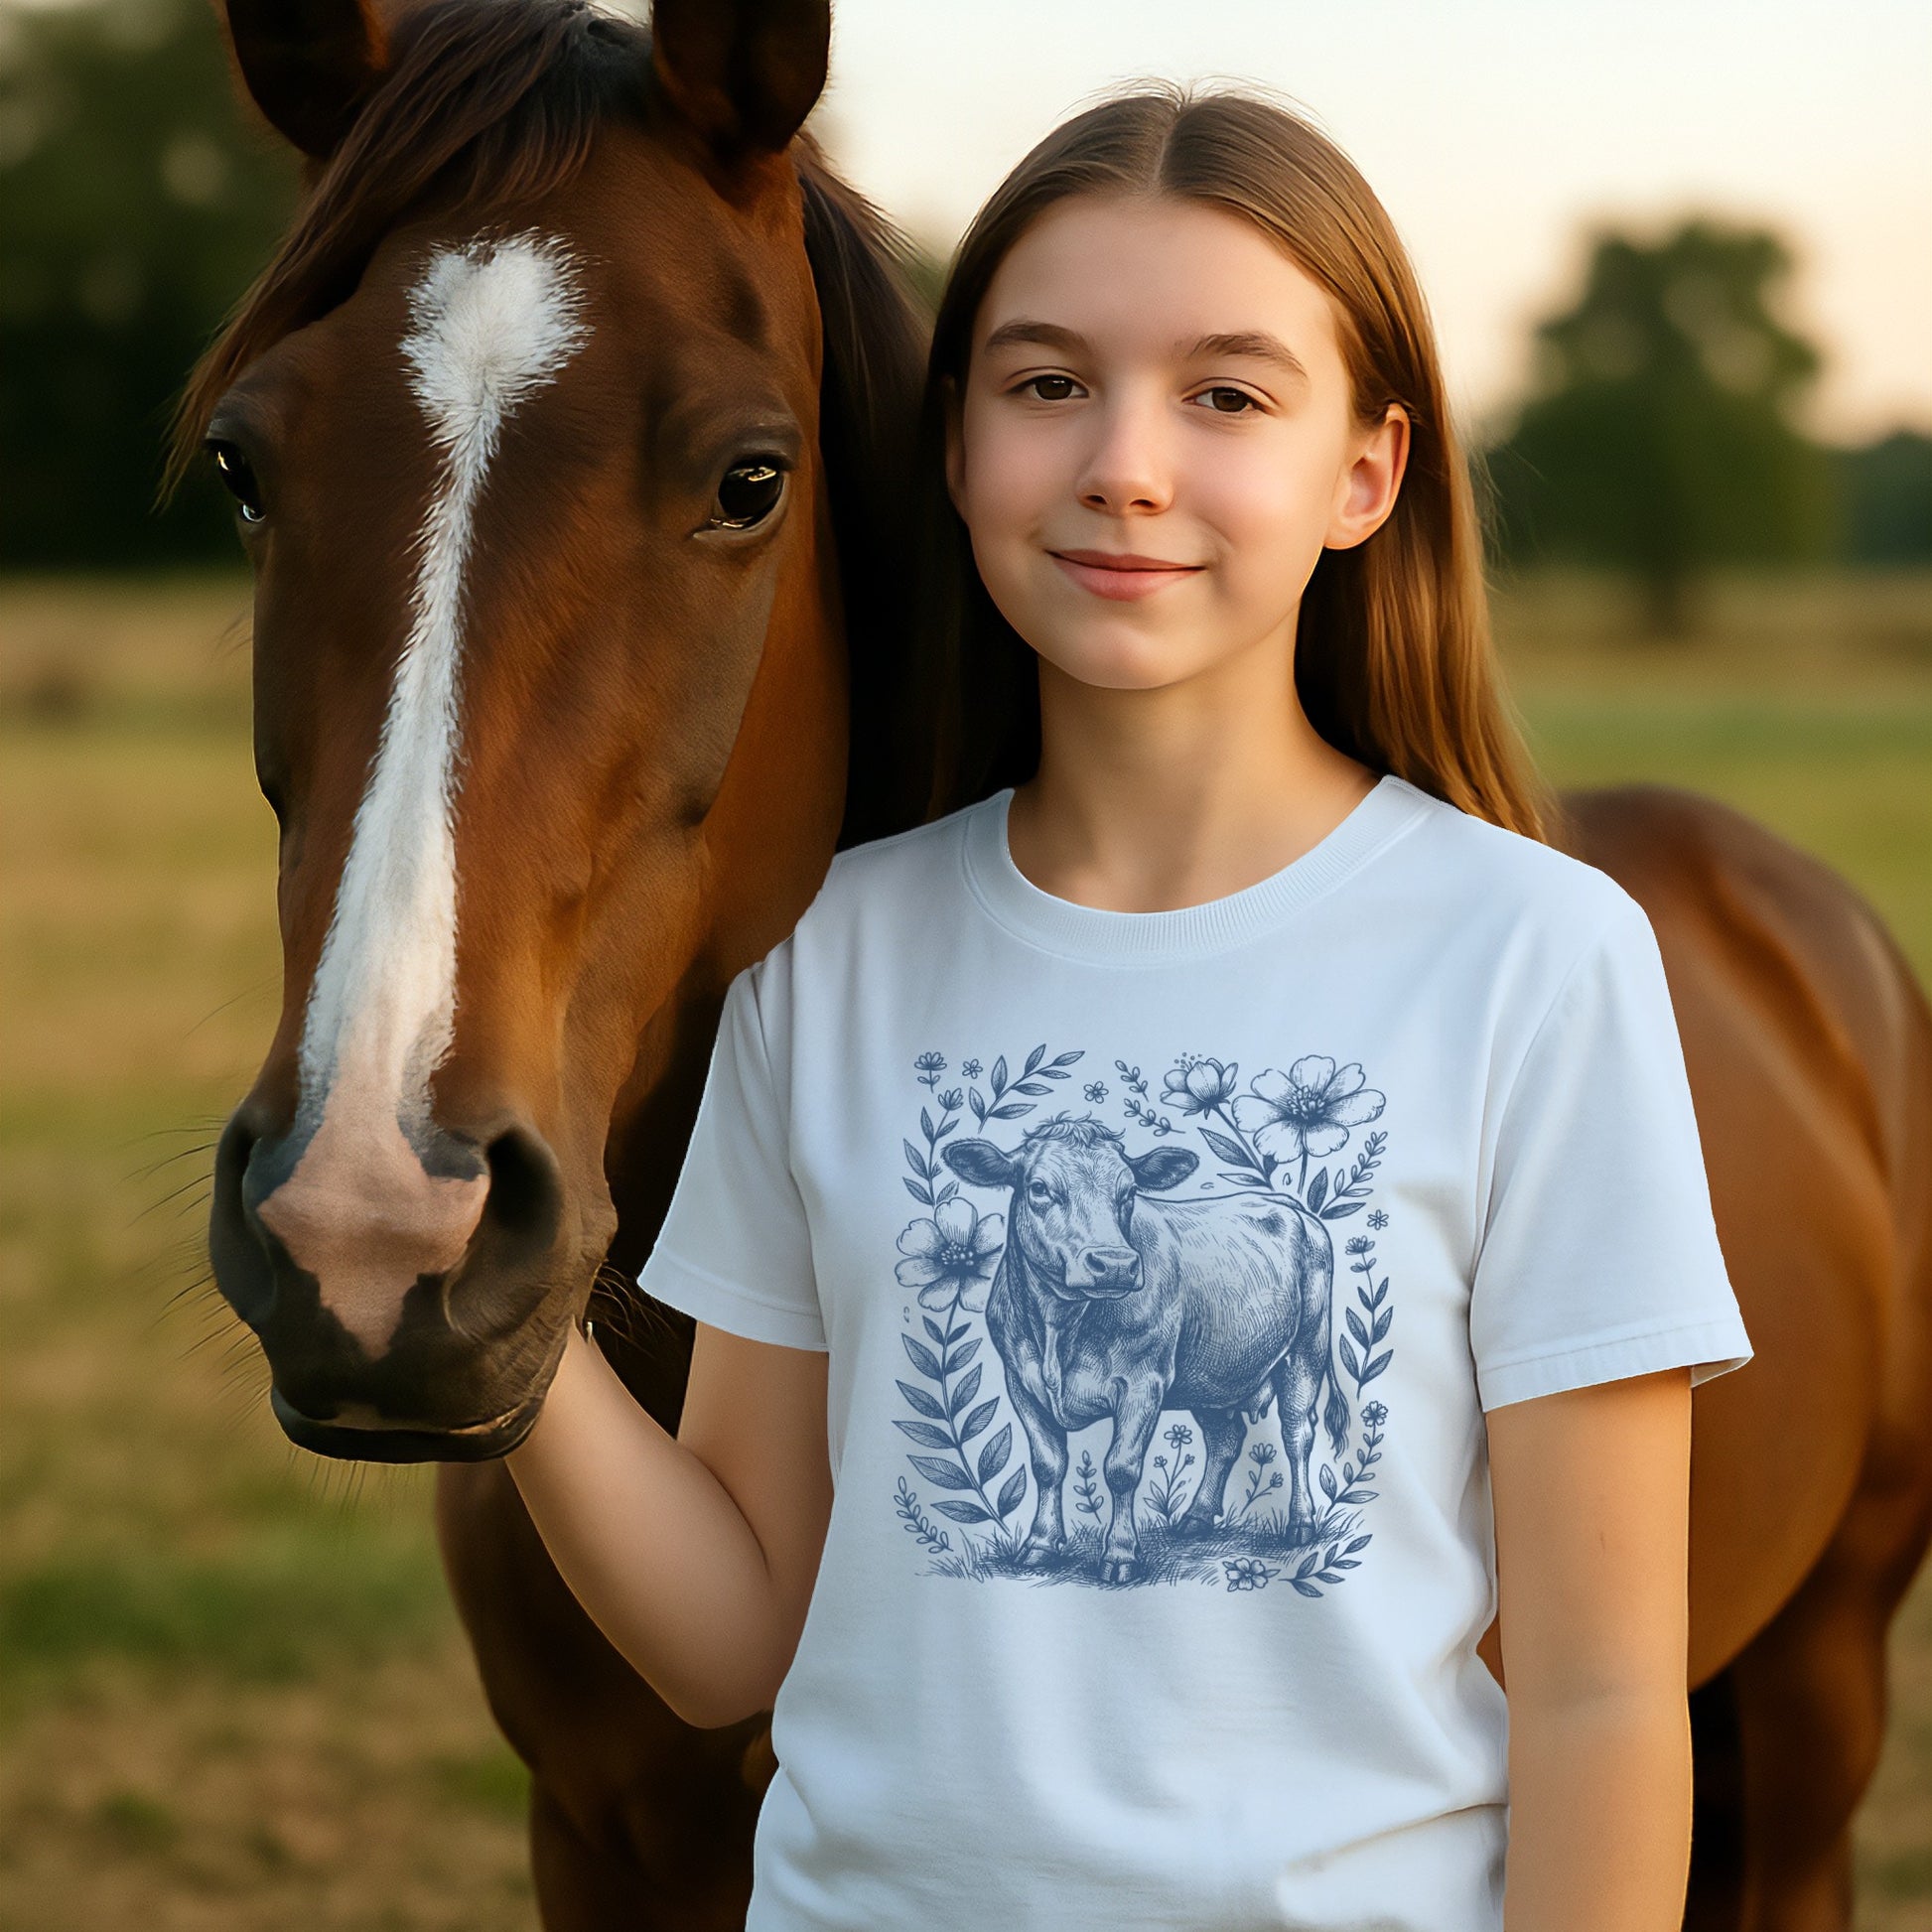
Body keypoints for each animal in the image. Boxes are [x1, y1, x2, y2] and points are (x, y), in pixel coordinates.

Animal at [942, 1113, 1349, 1584]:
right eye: (1039, 1187)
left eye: (1129, 1191)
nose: (1115, 1264)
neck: (1059, 1328)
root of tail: (1290, 1205)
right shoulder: (1021, 1383)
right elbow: (1047, 1465)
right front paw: (1040, 1545)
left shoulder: (1144, 1382)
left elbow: (1121, 1468)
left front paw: (1120, 1555)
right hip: (1210, 1375)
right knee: (1225, 1439)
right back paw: (1195, 1518)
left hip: (1307, 1349)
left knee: (1297, 1432)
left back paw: (1301, 1523)